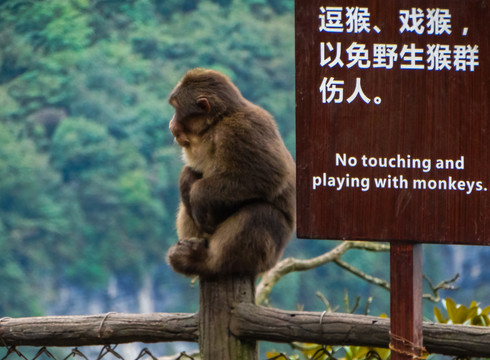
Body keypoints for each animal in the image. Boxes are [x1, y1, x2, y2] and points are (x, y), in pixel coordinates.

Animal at [166, 68, 294, 278]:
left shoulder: (242, 129)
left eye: (177, 109)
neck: (218, 122)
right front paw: (187, 180)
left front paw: (197, 195)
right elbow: (192, 171)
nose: (171, 124)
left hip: (267, 257)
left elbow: (269, 174)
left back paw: (206, 263)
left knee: (262, 213)